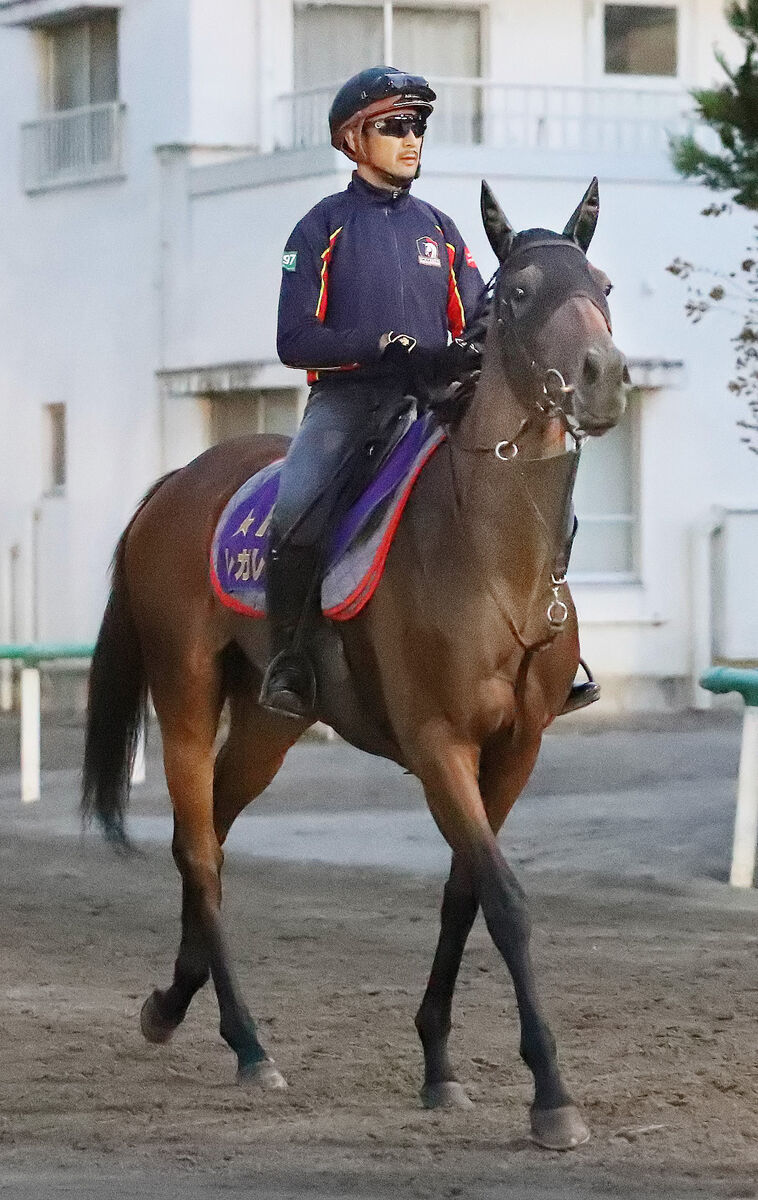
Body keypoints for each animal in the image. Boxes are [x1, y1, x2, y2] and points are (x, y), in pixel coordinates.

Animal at [81, 175, 628, 1142]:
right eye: (521, 292)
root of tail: (176, 482)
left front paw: (440, 1063)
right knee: (200, 851)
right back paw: (247, 1043)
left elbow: (463, 893)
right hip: (184, 690)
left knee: (210, 830)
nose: (602, 376)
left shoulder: (516, 749)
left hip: (269, 722)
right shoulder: (439, 742)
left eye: (602, 285)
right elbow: (505, 899)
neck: (493, 552)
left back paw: (175, 1002)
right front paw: (551, 1095)